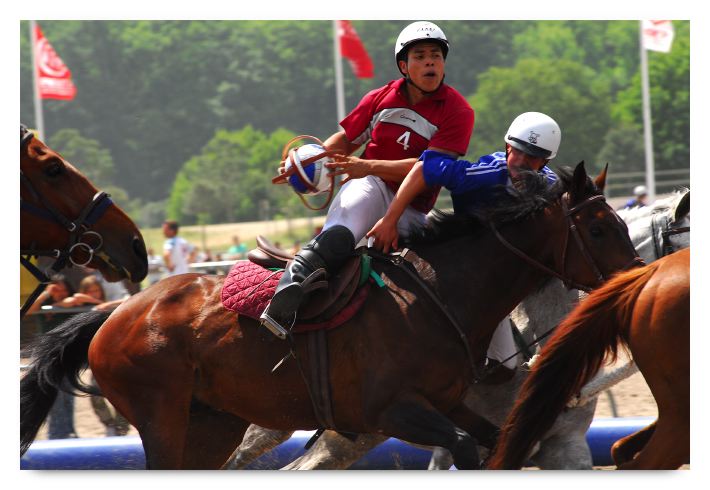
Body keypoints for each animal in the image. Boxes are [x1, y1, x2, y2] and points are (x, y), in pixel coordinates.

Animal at [20, 162, 642, 469]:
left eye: (619, 222)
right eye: (598, 227)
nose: (639, 279)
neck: (441, 294)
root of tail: (116, 311)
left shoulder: (450, 404)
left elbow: (503, 445)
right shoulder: (392, 412)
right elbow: (467, 449)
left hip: (213, 424)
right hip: (164, 421)